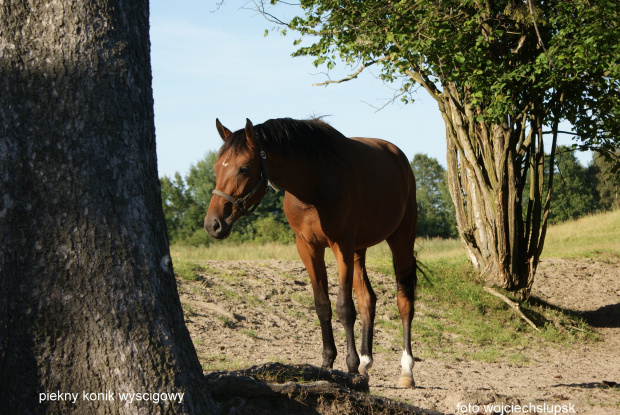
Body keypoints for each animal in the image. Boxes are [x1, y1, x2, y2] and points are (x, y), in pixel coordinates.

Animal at [206, 118, 418, 388]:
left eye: (243, 168)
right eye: (216, 167)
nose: (213, 224)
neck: (315, 186)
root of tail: (398, 157)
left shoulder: (341, 246)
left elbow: (344, 308)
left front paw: (350, 367)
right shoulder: (308, 248)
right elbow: (322, 305)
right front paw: (328, 364)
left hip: (401, 238)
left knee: (404, 301)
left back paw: (406, 370)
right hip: (359, 249)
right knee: (367, 300)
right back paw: (365, 364)